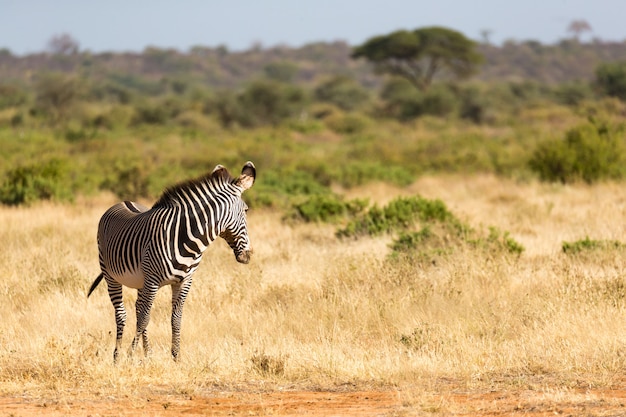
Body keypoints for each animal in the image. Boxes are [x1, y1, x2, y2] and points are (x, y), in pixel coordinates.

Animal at [86, 161, 255, 360]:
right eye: (246, 210)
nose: (248, 255)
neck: (186, 240)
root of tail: (123, 201)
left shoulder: (184, 282)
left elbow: (176, 318)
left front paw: (176, 357)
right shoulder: (152, 280)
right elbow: (144, 318)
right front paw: (130, 354)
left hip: (141, 281)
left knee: (137, 308)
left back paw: (148, 353)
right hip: (110, 274)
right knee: (122, 314)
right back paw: (117, 356)